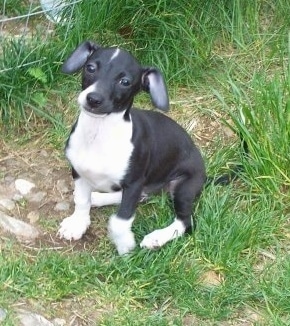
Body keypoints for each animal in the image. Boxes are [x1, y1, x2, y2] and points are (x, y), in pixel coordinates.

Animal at [57, 41, 206, 255]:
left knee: (186, 222)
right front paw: (77, 224)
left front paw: (124, 244)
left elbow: (120, 220)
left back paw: (157, 238)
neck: (99, 133)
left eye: (125, 81)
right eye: (90, 68)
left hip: (183, 188)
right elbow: (81, 200)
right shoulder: (78, 172)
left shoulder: (134, 183)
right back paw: (98, 198)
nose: (93, 98)